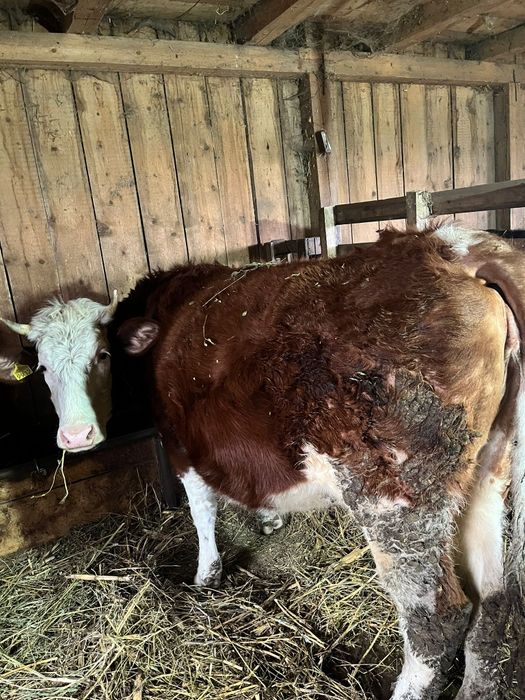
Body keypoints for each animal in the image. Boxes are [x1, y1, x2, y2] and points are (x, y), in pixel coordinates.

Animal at [3, 223, 524, 700]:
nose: (75, 436)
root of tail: (451, 246)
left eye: (103, 354)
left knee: (436, 624)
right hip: (487, 476)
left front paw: (205, 575)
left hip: (395, 499)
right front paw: (269, 519)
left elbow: (202, 512)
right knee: (495, 610)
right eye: (42, 366)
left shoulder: (180, 445)